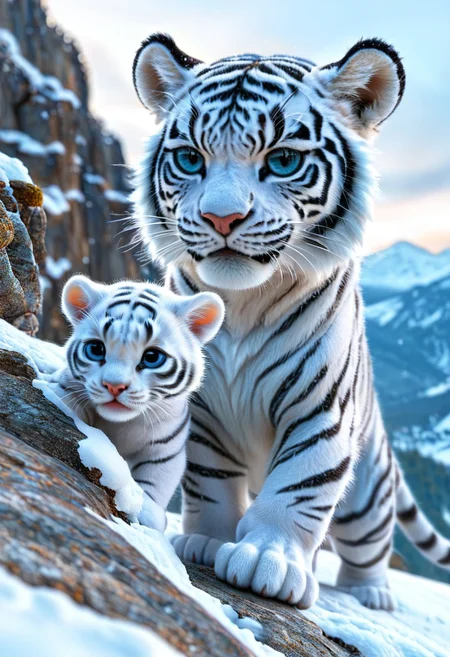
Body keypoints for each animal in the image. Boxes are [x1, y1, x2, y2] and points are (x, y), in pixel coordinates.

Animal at [49, 274, 224, 531]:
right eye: (96, 348)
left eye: (152, 357)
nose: (114, 386)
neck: (122, 425)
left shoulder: (167, 448)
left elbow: (155, 481)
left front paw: (147, 511)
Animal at [131, 33, 450, 610]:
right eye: (190, 159)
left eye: (280, 161)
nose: (221, 218)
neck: (240, 304)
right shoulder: (201, 409)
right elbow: (210, 480)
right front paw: (205, 540)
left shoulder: (319, 408)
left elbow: (300, 487)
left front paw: (268, 561)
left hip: (368, 490)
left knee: (368, 543)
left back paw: (370, 594)